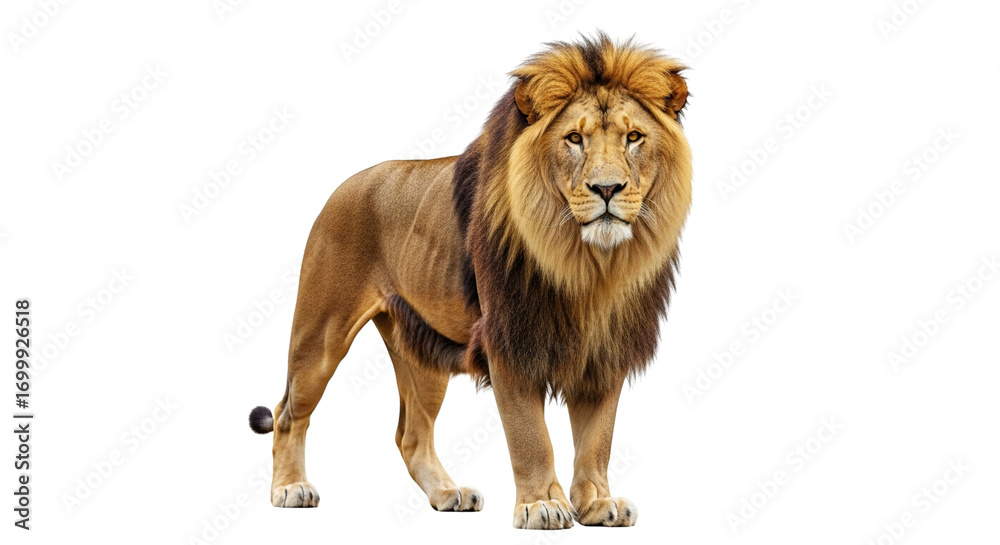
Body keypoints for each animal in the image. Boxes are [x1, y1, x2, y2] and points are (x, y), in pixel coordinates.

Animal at [248, 33, 692, 529]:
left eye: (633, 138)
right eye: (574, 139)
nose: (608, 188)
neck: (589, 265)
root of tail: (345, 185)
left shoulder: (606, 348)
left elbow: (598, 439)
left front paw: (598, 502)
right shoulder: (510, 341)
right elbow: (530, 436)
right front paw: (541, 505)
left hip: (422, 354)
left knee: (411, 435)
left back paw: (448, 493)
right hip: (321, 334)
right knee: (288, 413)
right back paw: (291, 488)